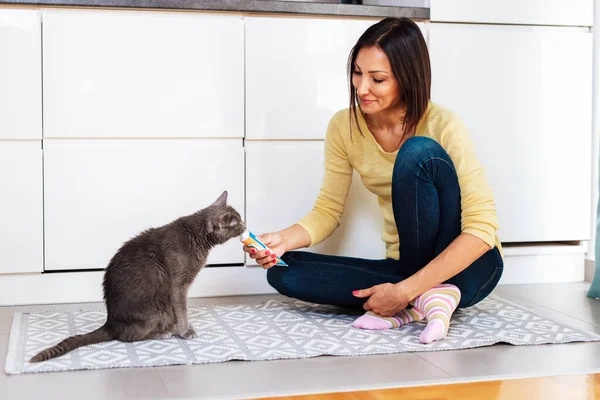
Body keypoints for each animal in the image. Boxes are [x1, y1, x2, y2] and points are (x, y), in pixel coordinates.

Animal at [29, 191, 245, 362]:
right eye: (236, 223)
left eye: (241, 218)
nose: (245, 225)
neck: (196, 235)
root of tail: (110, 321)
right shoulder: (179, 286)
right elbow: (182, 310)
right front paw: (185, 331)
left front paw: (183, 327)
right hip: (155, 311)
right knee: (129, 336)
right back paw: (164, 332)